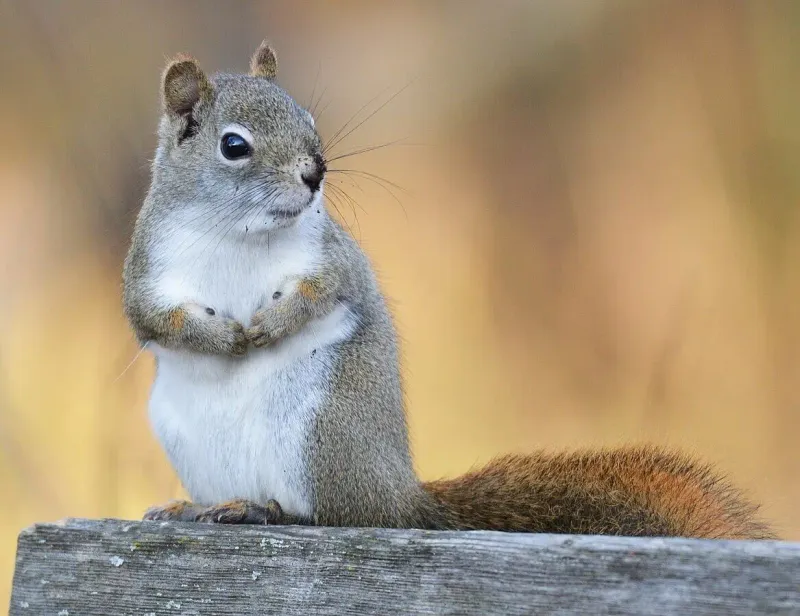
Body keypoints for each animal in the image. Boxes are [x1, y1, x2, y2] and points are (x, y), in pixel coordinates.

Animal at [123, 41, 776, 540]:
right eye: (234, 145)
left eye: (308, 121)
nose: (316, 172)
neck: (238, 230)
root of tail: (404, 498)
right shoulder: (147, 270)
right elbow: (155, 319)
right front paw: (223, 337)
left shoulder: (333, 256)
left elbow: (324, 290)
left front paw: (269, 325)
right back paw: (199, 507)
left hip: (323, 432)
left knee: (339, 516)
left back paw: (266, 509)